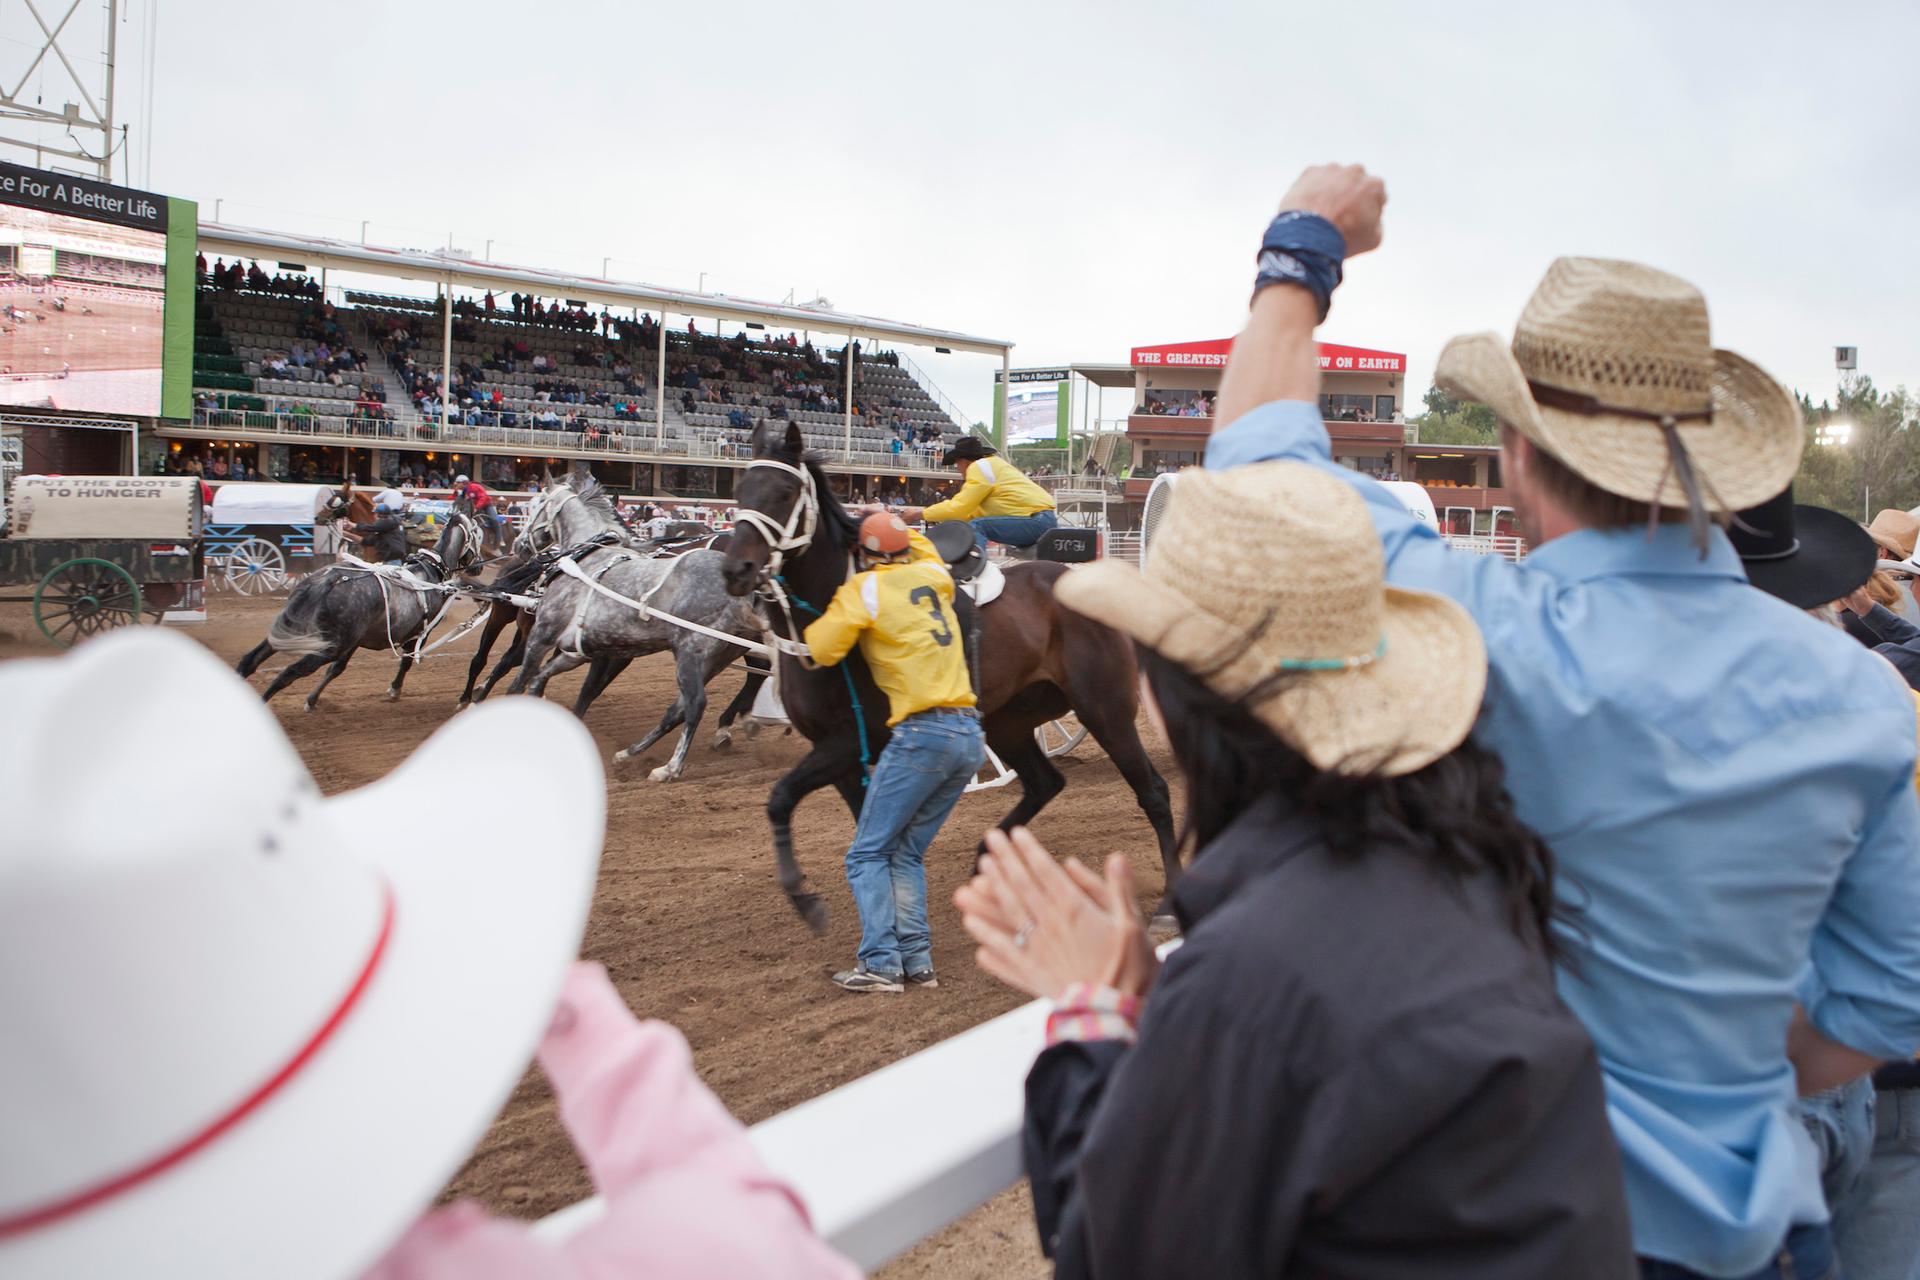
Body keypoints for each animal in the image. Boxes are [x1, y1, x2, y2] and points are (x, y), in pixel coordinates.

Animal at [237, 502, 487, 710]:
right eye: (479, 534)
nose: (478, 567)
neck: (431, 569)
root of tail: (329, 581)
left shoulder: (356, 641)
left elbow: (337, 669)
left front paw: (312, 699)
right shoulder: (419, 633)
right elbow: (406, 662)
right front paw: (394, 689)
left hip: (294, 629)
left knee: (250, 661)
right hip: (328, 646)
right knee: (288, 674)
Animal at [510, 474, 764, 782]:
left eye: (535, 503)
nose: (519, 544)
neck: (588, 559)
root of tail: (748, 593)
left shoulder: (543, 635)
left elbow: (522, 681)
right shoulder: (579, 651)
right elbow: (541, 680)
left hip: (691, 652)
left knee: (694, 704)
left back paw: (670, 768)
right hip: (718, 657)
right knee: (679, 708)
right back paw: (629, 753)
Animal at [718, 420, 1175, 932]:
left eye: (784, 492)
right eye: (740, 490)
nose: (737, 569)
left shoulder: (854, 741)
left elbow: (782, 797)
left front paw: (805, 899)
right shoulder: (838, 750)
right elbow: (863, 834)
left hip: (1105, 710)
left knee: (1153, 793)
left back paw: (1167, 905)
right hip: (1009, 720)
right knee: (1045, 783)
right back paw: (983, 864)